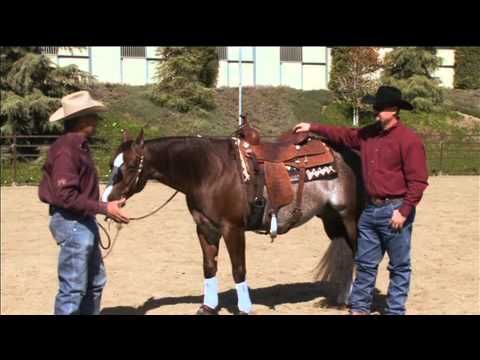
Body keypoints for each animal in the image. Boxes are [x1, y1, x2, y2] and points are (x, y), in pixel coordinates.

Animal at [103, 128, 366, 314]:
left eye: (129, 166)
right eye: (111, 164)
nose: (107, 200)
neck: (209, 172)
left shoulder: (233, 229)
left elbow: (238, 269)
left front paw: (244, 308)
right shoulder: (205, 229)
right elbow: (209, 267)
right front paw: (208, 307)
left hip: (351, 219)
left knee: (358, 256)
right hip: (332, 221)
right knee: (346, 256)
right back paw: (340, 302)